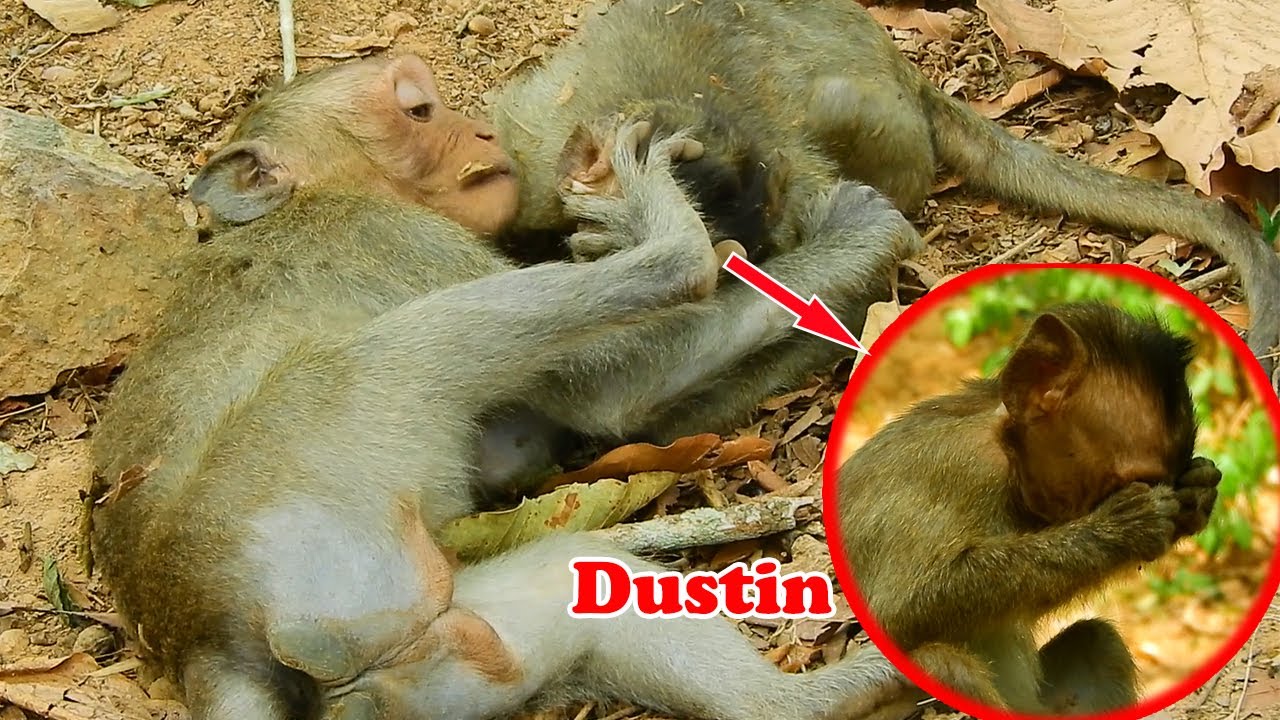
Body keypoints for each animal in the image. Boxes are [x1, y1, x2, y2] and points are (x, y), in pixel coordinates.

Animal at [90, 55, 919, 720]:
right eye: (419, 111)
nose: (485, 134)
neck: (314, 194)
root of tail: (206, 644)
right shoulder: (391, 235)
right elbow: (608, 390)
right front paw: (857, 242)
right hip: (304, 479)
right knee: (406, 353)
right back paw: (668, 239)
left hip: (425, 651)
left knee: (570, 582)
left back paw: (817, 698)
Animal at [833, 302, 1224, 714]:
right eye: (1138, 484)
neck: (1005, 449)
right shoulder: (959, 469)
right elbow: (899, 611)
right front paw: (1122, 531)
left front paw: (1196, 494)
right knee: (941, 660)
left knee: (1095, 639)